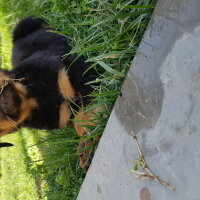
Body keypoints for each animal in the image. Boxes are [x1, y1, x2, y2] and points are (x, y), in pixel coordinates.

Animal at [0, 17, 98, 163]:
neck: (34, 98)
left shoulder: (73, 71)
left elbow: (89, 107)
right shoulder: (64, 115)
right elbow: (78, 121)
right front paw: (86, 144)